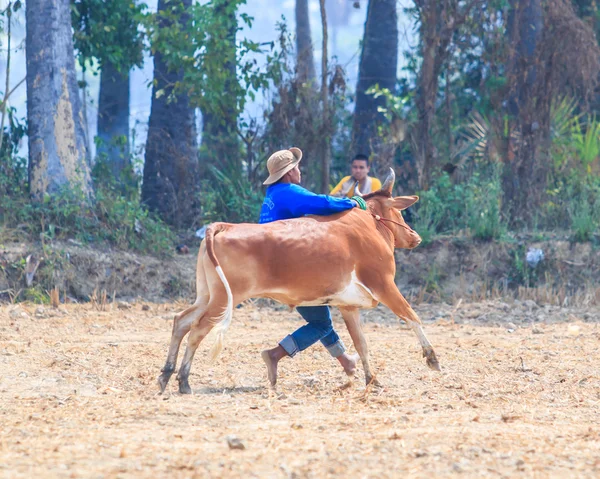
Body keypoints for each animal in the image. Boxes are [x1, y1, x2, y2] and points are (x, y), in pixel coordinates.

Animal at [159, 171, 440, 396]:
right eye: (398, 210)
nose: (415, 237)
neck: (369, 223)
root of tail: (222, 226)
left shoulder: (348, 306)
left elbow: (361, 344)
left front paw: (372, 379)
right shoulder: (385, 285)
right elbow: (411, 316)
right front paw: (432, 358)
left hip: (207, 295)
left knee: (181, 321)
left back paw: (166, 374)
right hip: (224, 300)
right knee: (197, 330)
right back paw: (183, 381)